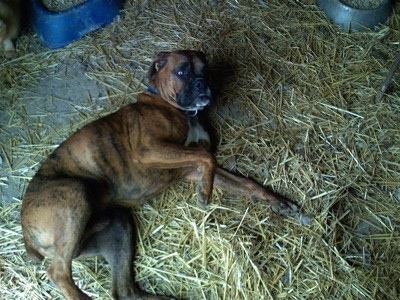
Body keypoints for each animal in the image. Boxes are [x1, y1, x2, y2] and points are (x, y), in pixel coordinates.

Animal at [21, 50, 296, 298]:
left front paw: (279, 202)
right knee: (58, 272)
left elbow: (244, 182)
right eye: (182, 71)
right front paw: (205, 192)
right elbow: (207, 157)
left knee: (124, 291)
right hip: (75, 193)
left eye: (205, 70)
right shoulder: (149, 149)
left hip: (116, 226)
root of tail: (25, 230)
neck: (176, 108)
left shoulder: (191, 167)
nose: (202, 83)